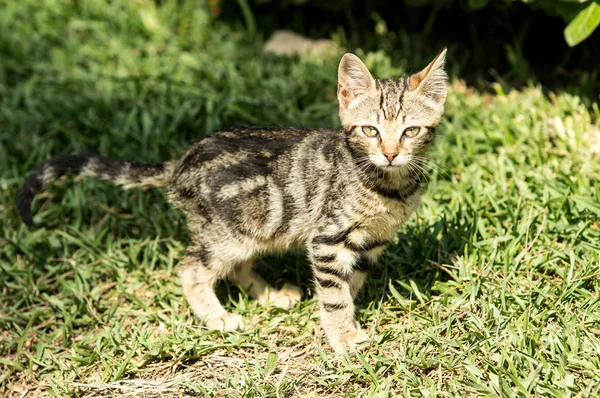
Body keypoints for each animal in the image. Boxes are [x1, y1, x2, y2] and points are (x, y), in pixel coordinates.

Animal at [16, 49, 448, 352]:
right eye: (370, 130)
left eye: (410, 131)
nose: (390, 153)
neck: (388, 186)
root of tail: (180, 162)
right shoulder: (327, 238)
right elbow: (334, 293)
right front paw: (343, 336)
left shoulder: (373, 239)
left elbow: (349, 283)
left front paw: (344, 317)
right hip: (226, 234)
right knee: (191, 269)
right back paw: (218, 318)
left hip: (255, 226)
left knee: (238, 267)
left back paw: (272, 296)